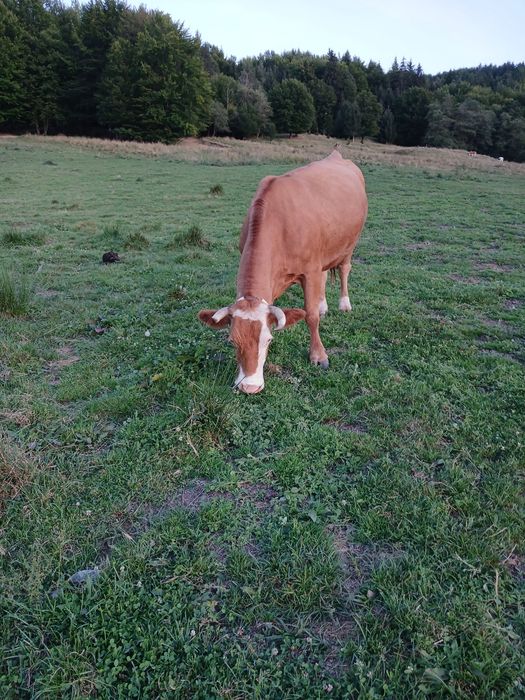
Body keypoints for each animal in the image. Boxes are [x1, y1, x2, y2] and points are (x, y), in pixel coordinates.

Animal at [198, 149, 368, 394]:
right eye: (232, 341)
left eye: (268, 340)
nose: (249, 386)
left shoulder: (310, 270)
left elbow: (311, 316)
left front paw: (319, 355)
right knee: (325, 274)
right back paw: (324, 304)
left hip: (349, 244)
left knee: (344, 269)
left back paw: (344, 304)